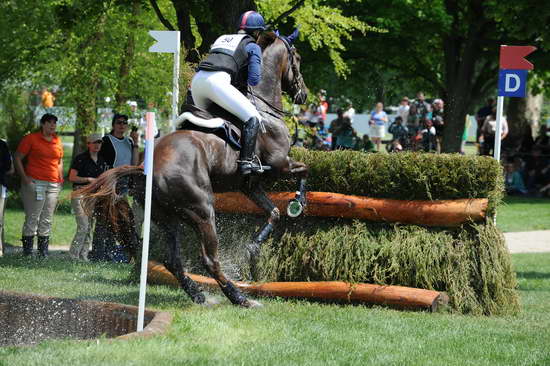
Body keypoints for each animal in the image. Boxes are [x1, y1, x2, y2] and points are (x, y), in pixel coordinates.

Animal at [77, 31, 310, 308]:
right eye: (297, 58)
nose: (304, 95)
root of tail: (144, 168)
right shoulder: (280, 163)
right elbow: (305, 170)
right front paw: (298, 203)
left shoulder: (250, 185)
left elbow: (273, 212)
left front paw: (254, 247)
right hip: (202, 211)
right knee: (209, 259)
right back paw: (240, 298)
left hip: (167, 217)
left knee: (172, 260)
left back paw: (199, 294)